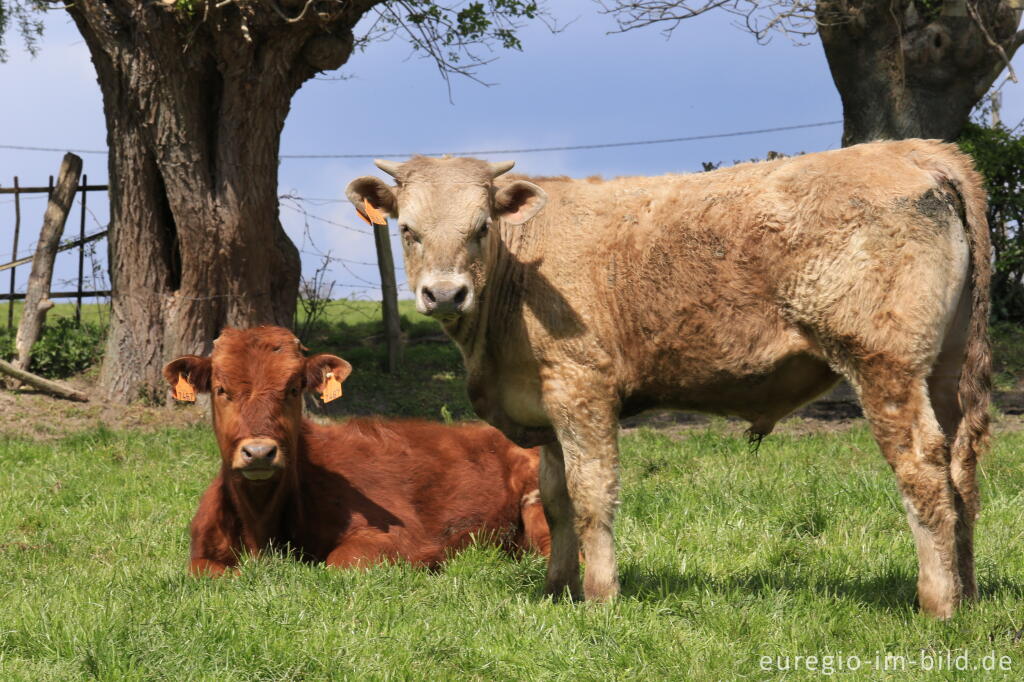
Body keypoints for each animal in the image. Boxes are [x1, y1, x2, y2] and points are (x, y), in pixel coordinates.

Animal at [346, 140, 991, 618]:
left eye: (481, 227)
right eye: (408, 229)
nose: (444, 293)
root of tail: (911, 148)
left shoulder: (582, 387)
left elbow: (591, 492)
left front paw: (600, 596)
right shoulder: (546, 402)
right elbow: (555, 499)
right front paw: (557, 591)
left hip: (885, 363)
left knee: (922, 469)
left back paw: (937, 604)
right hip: (946, 367)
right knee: (961, 468)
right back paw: (967, 593)